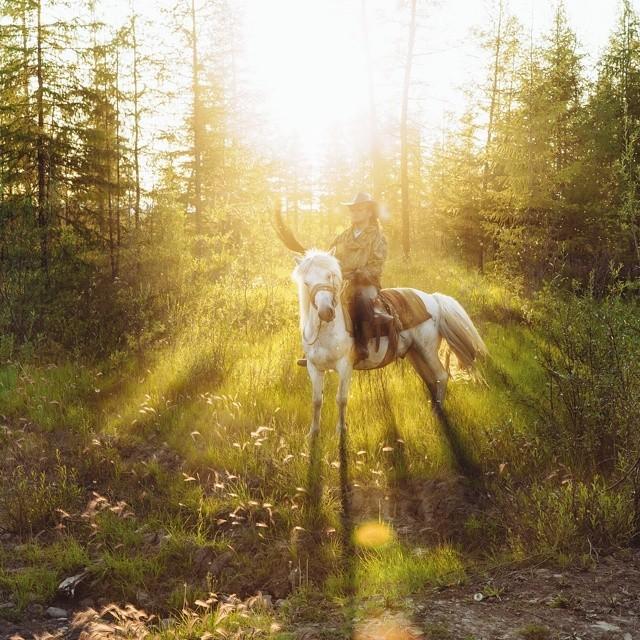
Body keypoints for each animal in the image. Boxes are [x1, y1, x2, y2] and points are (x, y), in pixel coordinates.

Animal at [292, 248, 487, 436]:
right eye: (307, 283)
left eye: (330, 276)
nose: (326, 312)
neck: (327, 332)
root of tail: (433, 298)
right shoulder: (314, 368)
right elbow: (317, 400)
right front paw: (313, 433)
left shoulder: (345, 367)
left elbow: (341, 399)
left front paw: (341, 431)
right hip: (415, 353)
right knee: (431, 379)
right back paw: (433, 407)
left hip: (427, 350)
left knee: (441, 376)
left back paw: (438, 411)